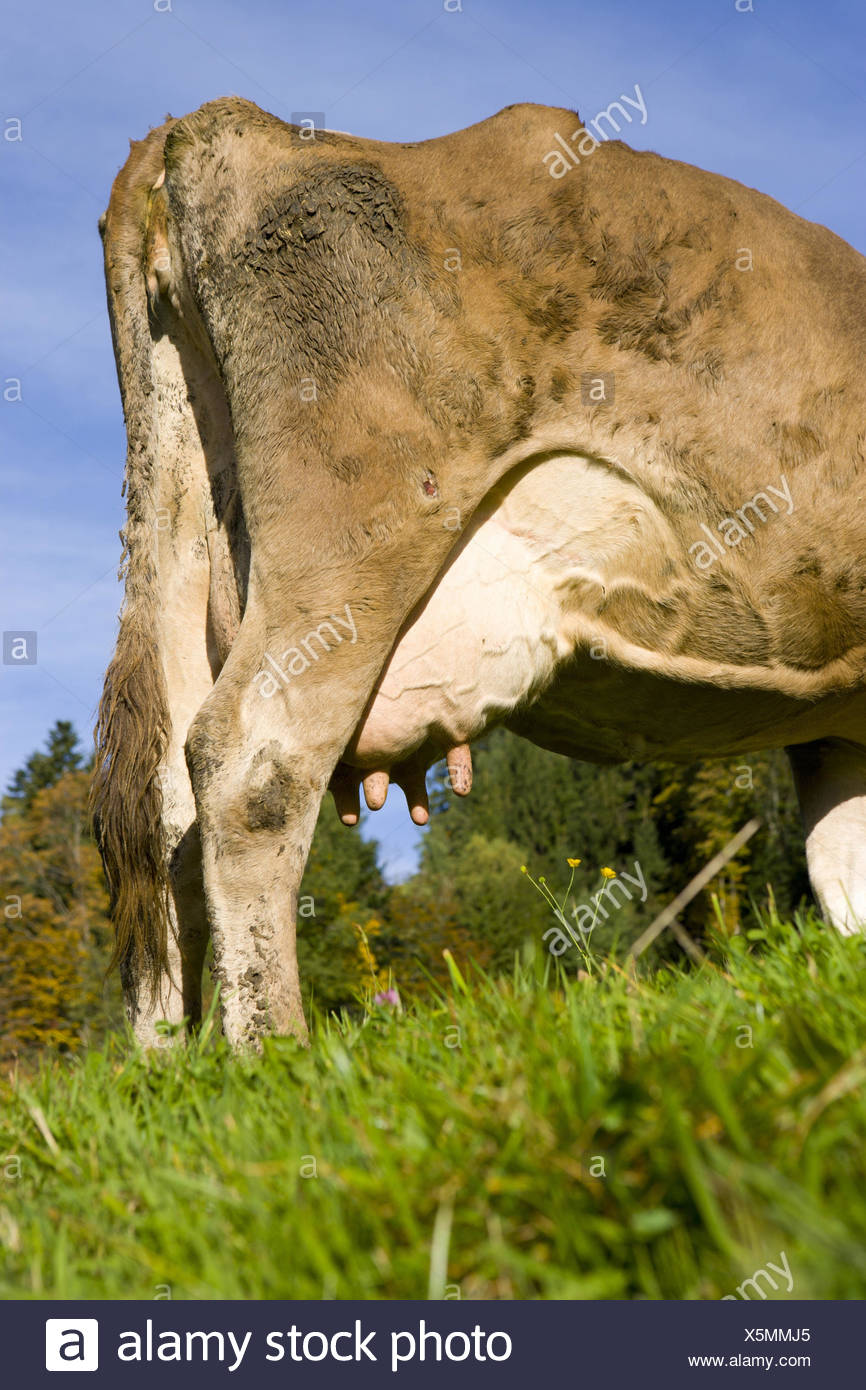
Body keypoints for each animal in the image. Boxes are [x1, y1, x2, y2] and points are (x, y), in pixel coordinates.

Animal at [93, 97, 866, 1051]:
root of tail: (208, 124)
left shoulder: (834, 730)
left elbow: (841, 868)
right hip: (355, 530)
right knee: (249, 761)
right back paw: (274, 1050)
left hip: (177, 528)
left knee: (162, 813)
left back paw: (167, 1065)